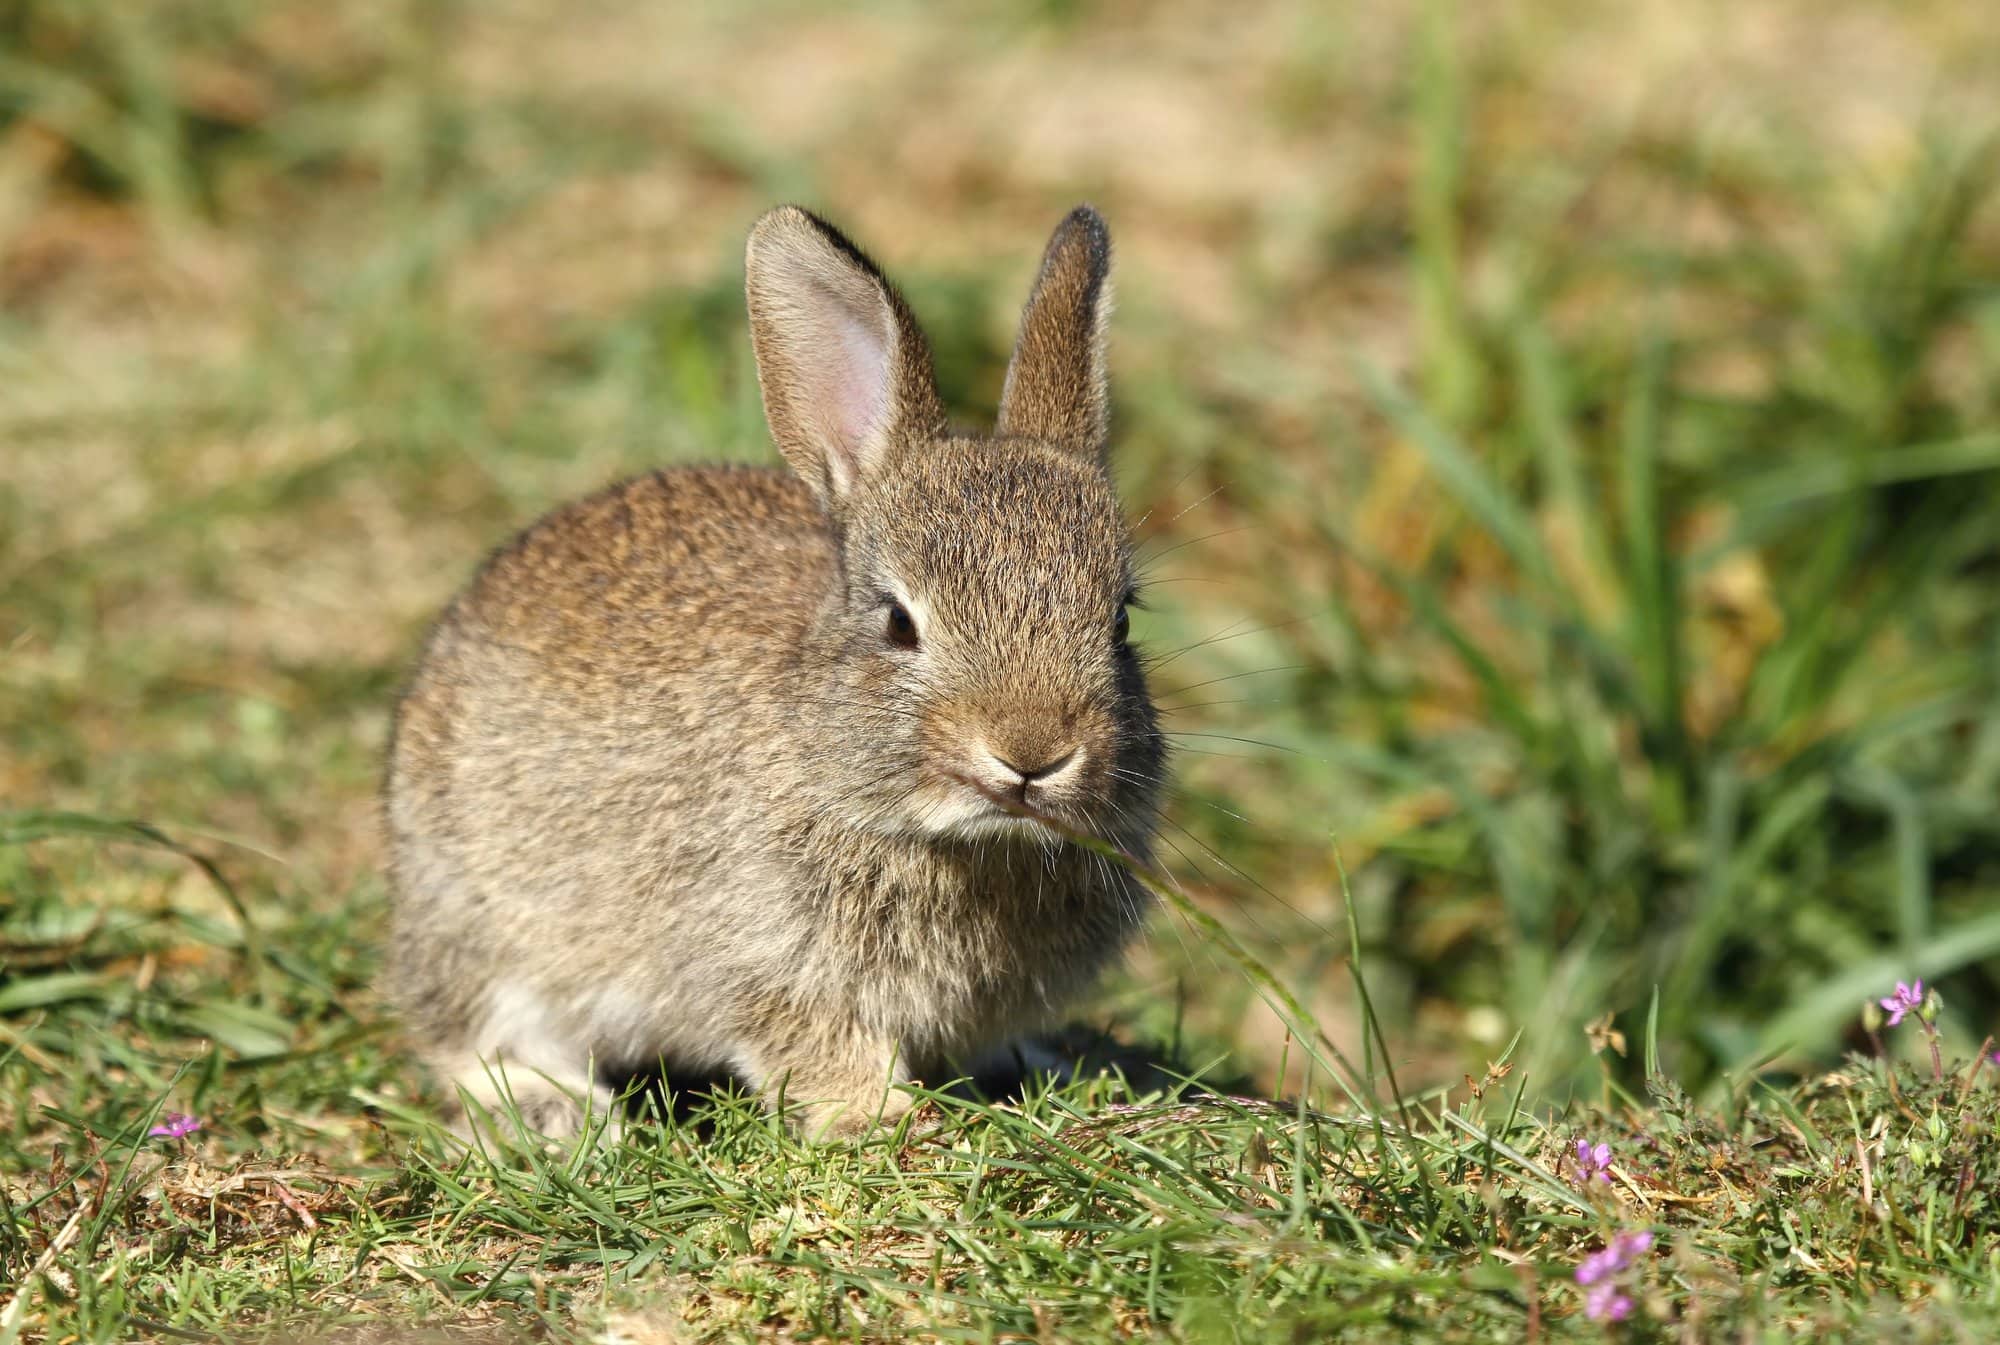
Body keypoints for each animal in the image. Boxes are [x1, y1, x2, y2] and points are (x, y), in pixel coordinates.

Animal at [388, 205, 1168, 1136]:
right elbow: (813, 1040)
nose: (1031, 753)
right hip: (478, 917)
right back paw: (555, 1112)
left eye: (1121, 620)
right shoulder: (765, 961)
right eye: (898, 623)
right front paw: (882, 1116)